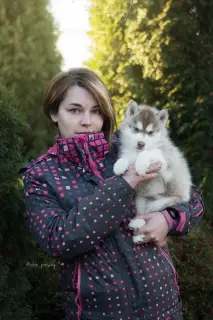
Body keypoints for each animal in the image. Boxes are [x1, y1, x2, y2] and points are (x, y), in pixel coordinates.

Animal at [114, 101, 192, 244]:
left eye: (150, 133)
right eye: (136, 129)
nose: (141, 144)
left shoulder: (165, 164)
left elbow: (148, 153)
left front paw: (140, 164)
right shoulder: (130, 154)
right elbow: (127, 157)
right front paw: (119, 165)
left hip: (162, 203)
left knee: (152, 214)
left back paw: (137, 224)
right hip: (140, 200)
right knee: (143, 213)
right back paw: (137, 233)